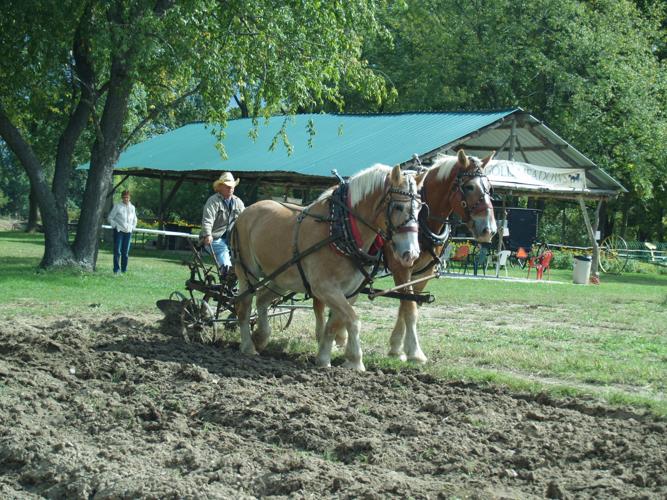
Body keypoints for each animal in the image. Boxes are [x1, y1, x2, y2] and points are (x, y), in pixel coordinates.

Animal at [232, 165, 426, 372]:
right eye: (398, 207)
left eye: (420, 208)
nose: (411, 253)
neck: (341, 229)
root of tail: (245, 211)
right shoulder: (324, 287)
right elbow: (353, 319)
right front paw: (356, 360)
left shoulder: (350, 291)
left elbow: (335, 323)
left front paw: (325, 358)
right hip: (247, 272)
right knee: (244, 306)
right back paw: (248, 346)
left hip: (281, 278)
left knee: (261, 300)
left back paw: (261, 337)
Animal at [320, 148, 498, 364]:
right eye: (470, 187)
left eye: (490, 188)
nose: (489, 230)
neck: (423, 221)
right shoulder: (401, 268)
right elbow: (409, 309)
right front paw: (414, 351)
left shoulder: (422, 272)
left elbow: (408, 305)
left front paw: (397, 347)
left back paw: (340, 336)